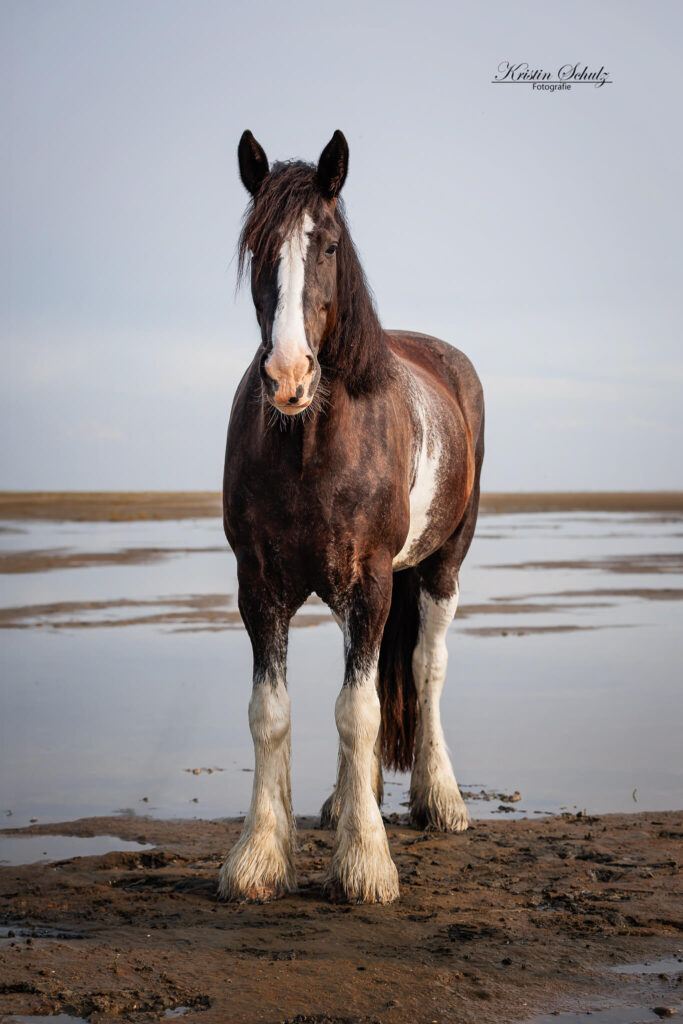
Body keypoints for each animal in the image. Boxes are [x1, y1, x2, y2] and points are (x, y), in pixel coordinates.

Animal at [219, 130, 485, 904]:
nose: (288, 376)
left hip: (440, 566)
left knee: (426, 668)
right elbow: (272, 712)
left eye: (329, 244)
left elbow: (360, 710)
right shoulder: (259, 586)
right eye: (256, 246)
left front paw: (365, 864)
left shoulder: (372, 582)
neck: (311, 444)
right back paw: (345, 800)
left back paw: (440, 799)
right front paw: (259, 858)